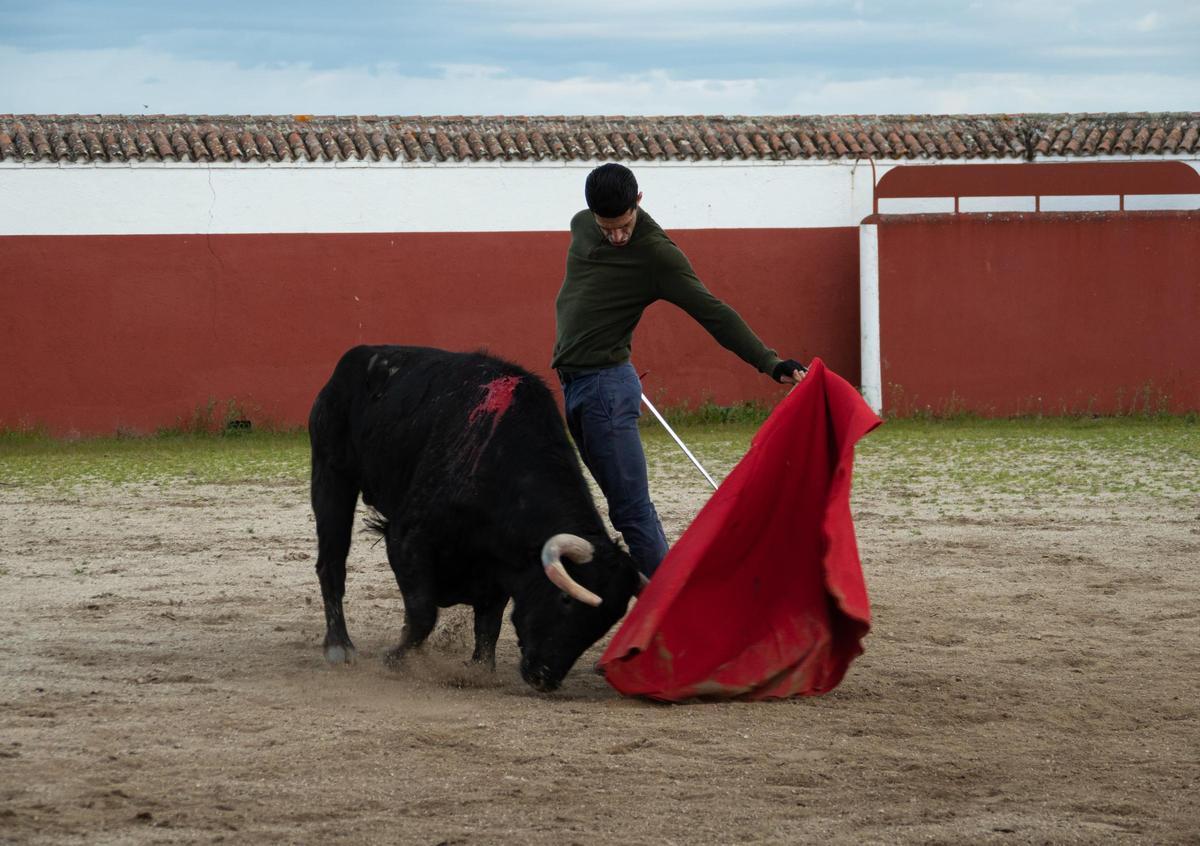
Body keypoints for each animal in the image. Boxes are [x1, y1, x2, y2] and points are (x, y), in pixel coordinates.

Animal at [312, 345, 648, 691]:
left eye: (604, 623)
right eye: (565, 600)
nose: (545, 678)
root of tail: (359, 355)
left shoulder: (500, 562)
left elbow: (489, 621)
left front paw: (480, 669)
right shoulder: (408, 538)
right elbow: (423, 612)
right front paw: (396, 659)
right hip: (332, 473)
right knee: (331, 563)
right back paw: (339, 646)